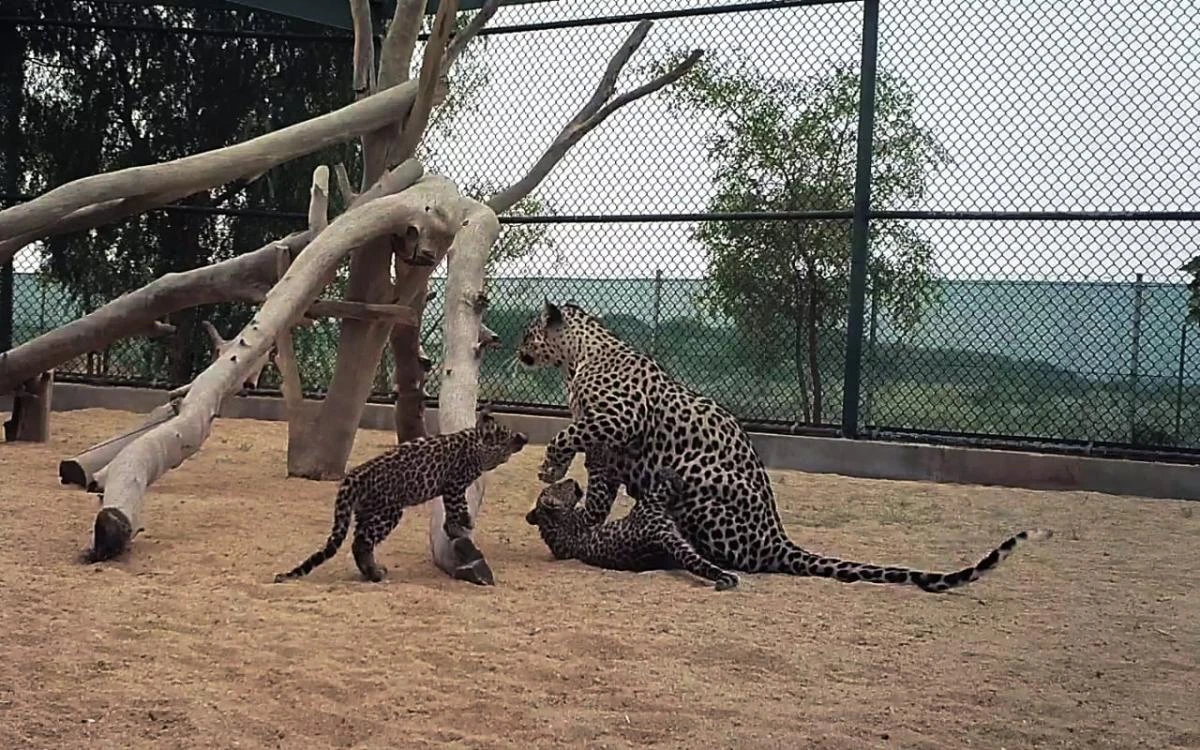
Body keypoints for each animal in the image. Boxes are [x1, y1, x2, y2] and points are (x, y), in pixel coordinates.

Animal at [273, 406, 528, 583]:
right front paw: (462, 523)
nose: (523, 438)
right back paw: (374, 574)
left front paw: (454, 525)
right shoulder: (454, 484)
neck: (477, 447)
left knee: (360, 540)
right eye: (507, 433)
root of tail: (352, 476)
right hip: (388, 512)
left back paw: (371, 571)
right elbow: (458, 507)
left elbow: (452, 509)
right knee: (362, 542)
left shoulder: (451, 487)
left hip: (368, 512)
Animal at [525, 468, 741, 591]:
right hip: (650, 504)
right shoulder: (589, 515)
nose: (571, 480)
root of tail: (658, 536)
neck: (552, 523)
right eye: (559, 486)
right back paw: (670, 473)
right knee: (668, 485)